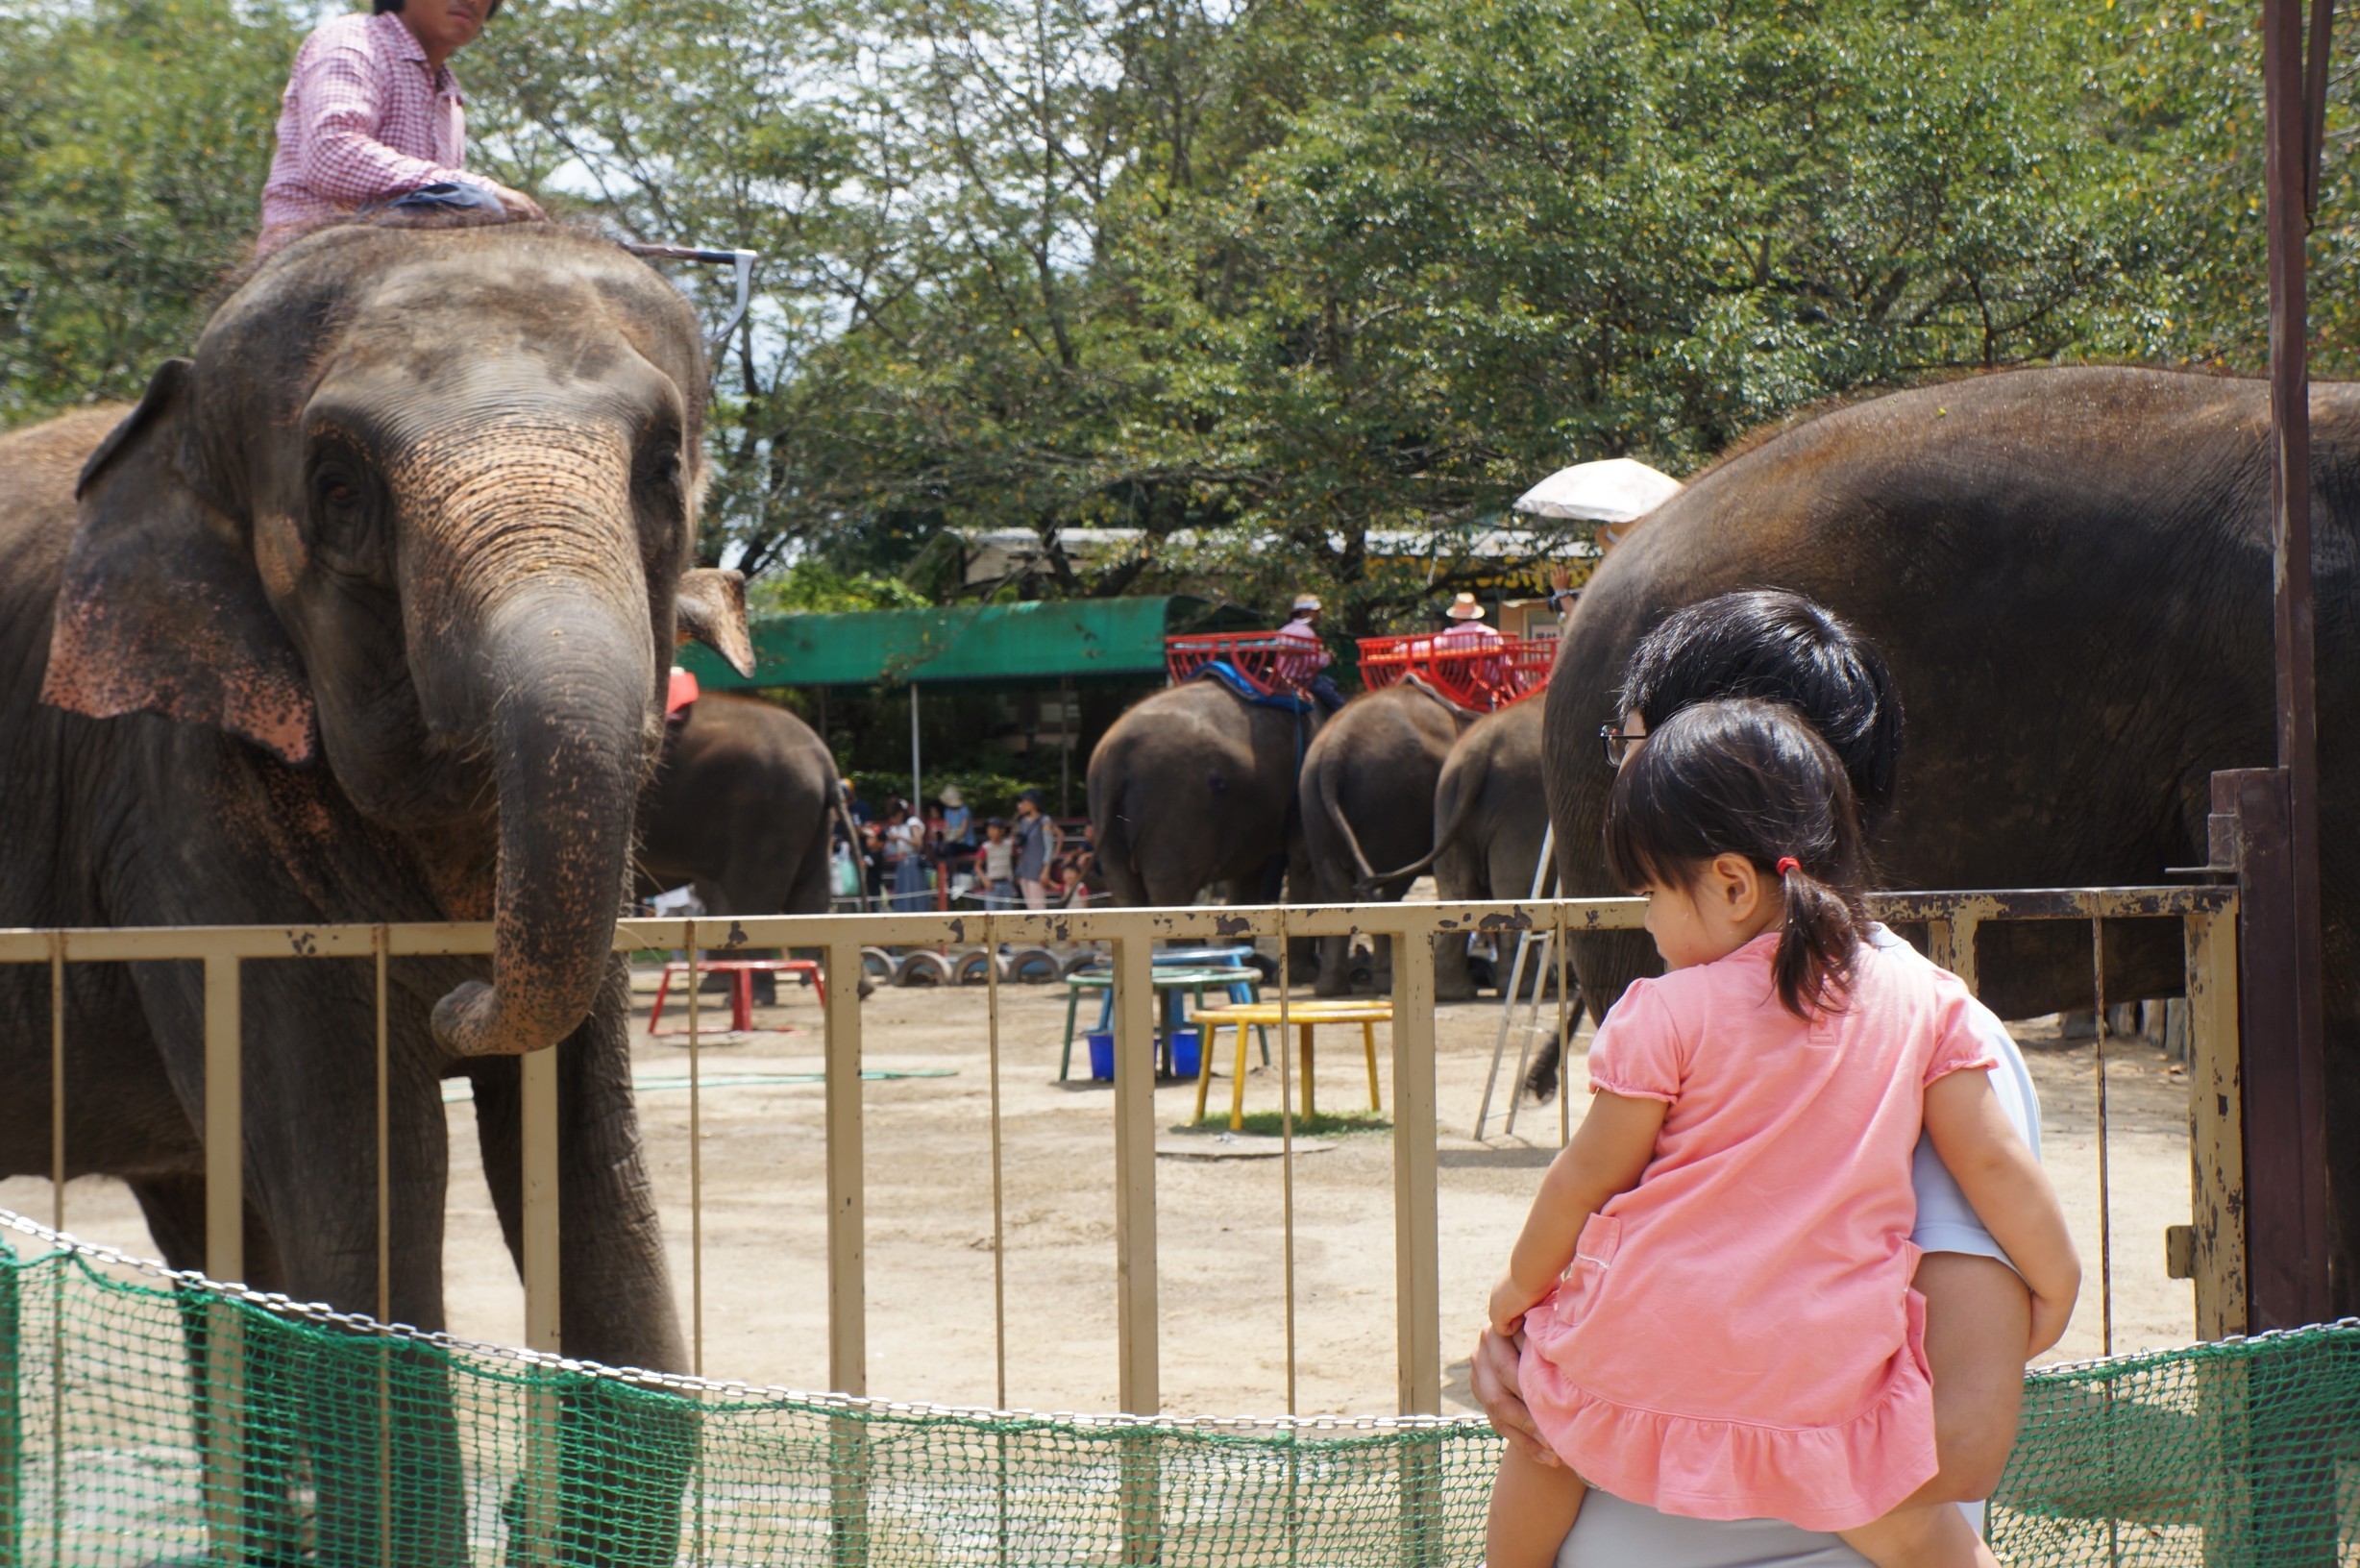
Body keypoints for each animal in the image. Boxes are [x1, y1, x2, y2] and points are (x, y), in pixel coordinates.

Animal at [0, 214, 750, 1558]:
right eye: (340, 491)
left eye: (664, 465)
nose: (457, 1002)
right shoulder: (179, 803)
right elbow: (376, 1170)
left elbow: (594, 1184)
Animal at [1302, 684, 1463, 992]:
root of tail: (1334, 748)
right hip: (1392, 807)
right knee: (1385, 891)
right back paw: (1385, 980)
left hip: (1314, 802)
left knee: (1335, 889)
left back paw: (1331, 987)